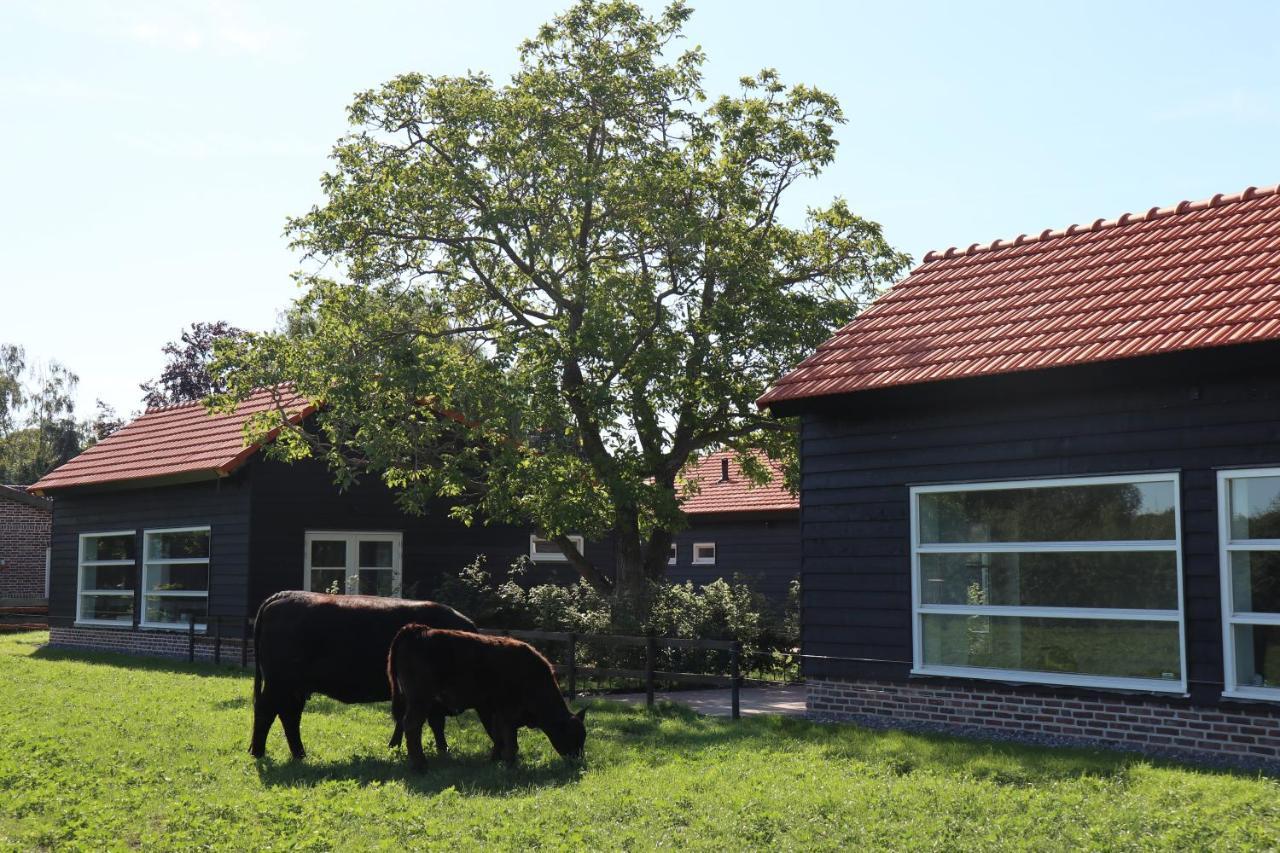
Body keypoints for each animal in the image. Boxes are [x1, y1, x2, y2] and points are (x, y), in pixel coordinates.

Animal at [249, 589, 476, 758]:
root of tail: (283, 595)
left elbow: (407, 721)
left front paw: (395, 747)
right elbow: (434, 722)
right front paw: (443, 750)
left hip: (295, 688)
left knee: (289, 716)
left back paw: (299, 754)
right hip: (279, 684)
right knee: (266, 711)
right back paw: (258, 752)